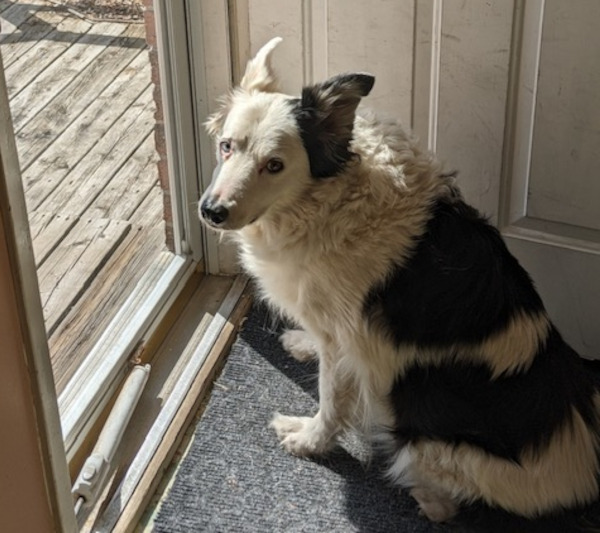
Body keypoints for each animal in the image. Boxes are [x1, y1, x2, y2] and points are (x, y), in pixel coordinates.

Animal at [198, 38, 600, 524]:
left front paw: (310, 440)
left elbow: (331, 399)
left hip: (424, 440)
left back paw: (425, 497)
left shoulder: (347, 340)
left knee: (443, 499)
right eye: (226, 147)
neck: (330, 202)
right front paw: (302, 345)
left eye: (274, 165)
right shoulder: (333, 329)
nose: (211, 212)